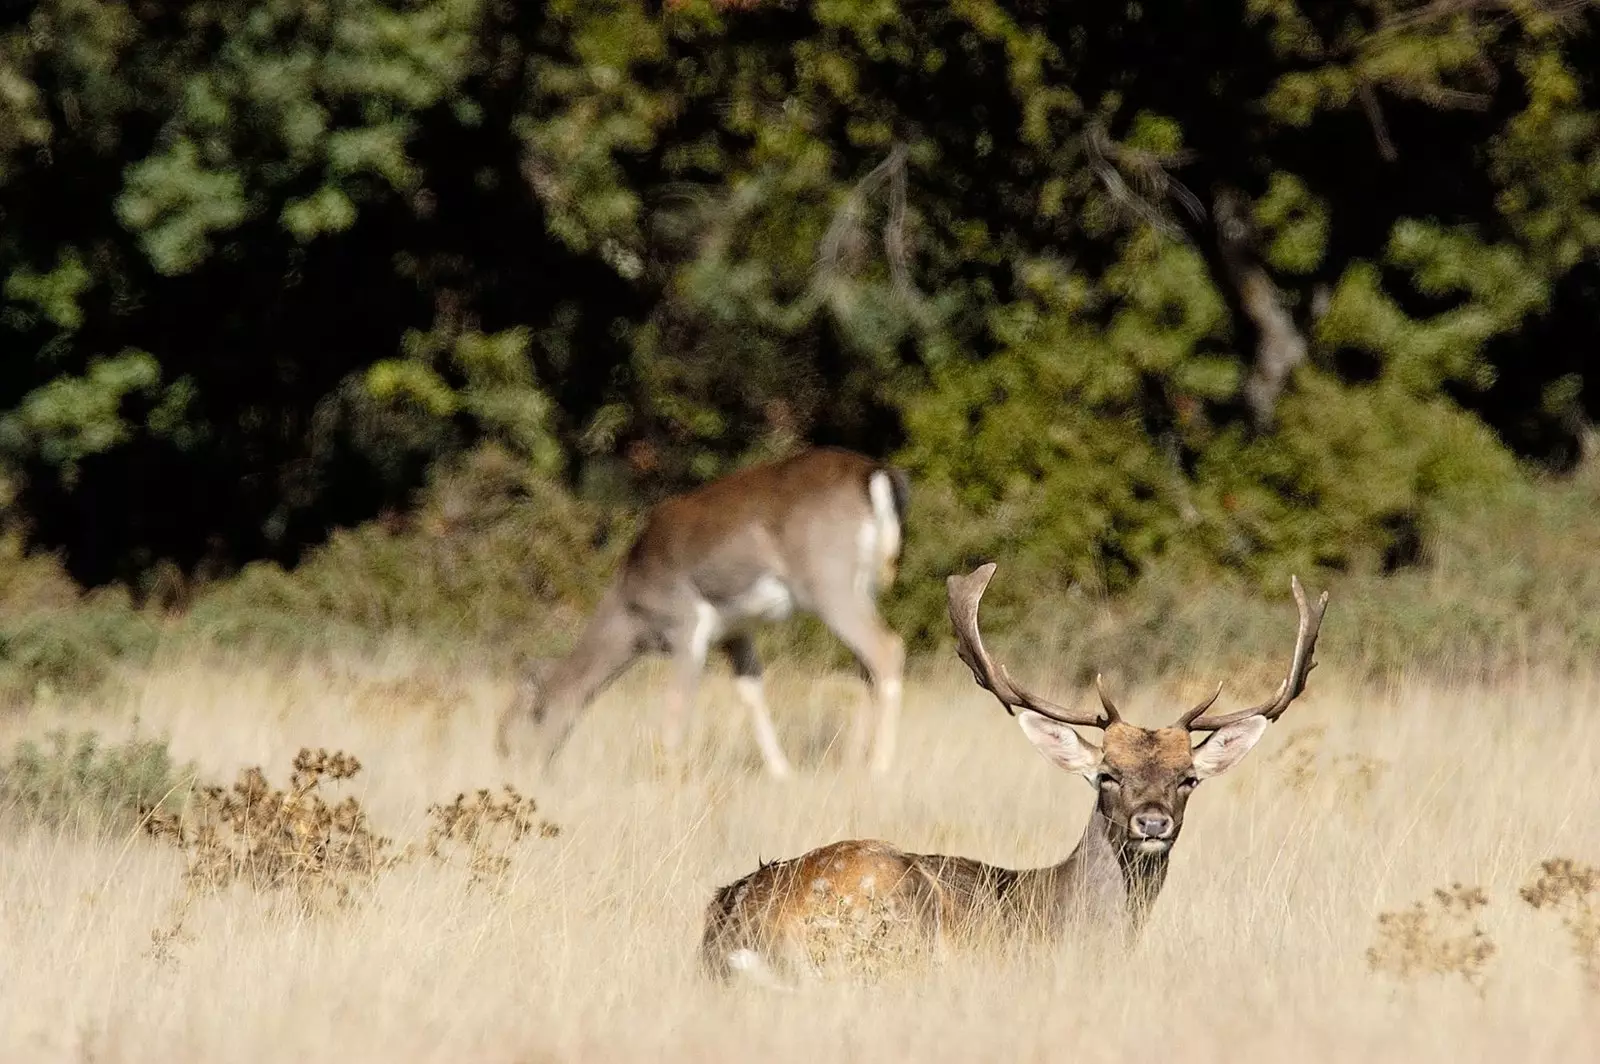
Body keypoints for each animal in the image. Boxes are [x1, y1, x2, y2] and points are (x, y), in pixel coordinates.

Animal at [486, 444, 915, 777]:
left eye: (535, 712)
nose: (518, 765)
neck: (632, 611)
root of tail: (874, 473)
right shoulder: (735, 631)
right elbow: (751, 692)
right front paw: (783, 773)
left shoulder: (685, 622)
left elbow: (678, 705)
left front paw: (671, 778)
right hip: (864, 586)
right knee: (866, 666)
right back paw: (855, 763)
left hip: (828, 582)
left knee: (887, 648)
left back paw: (880, 766)